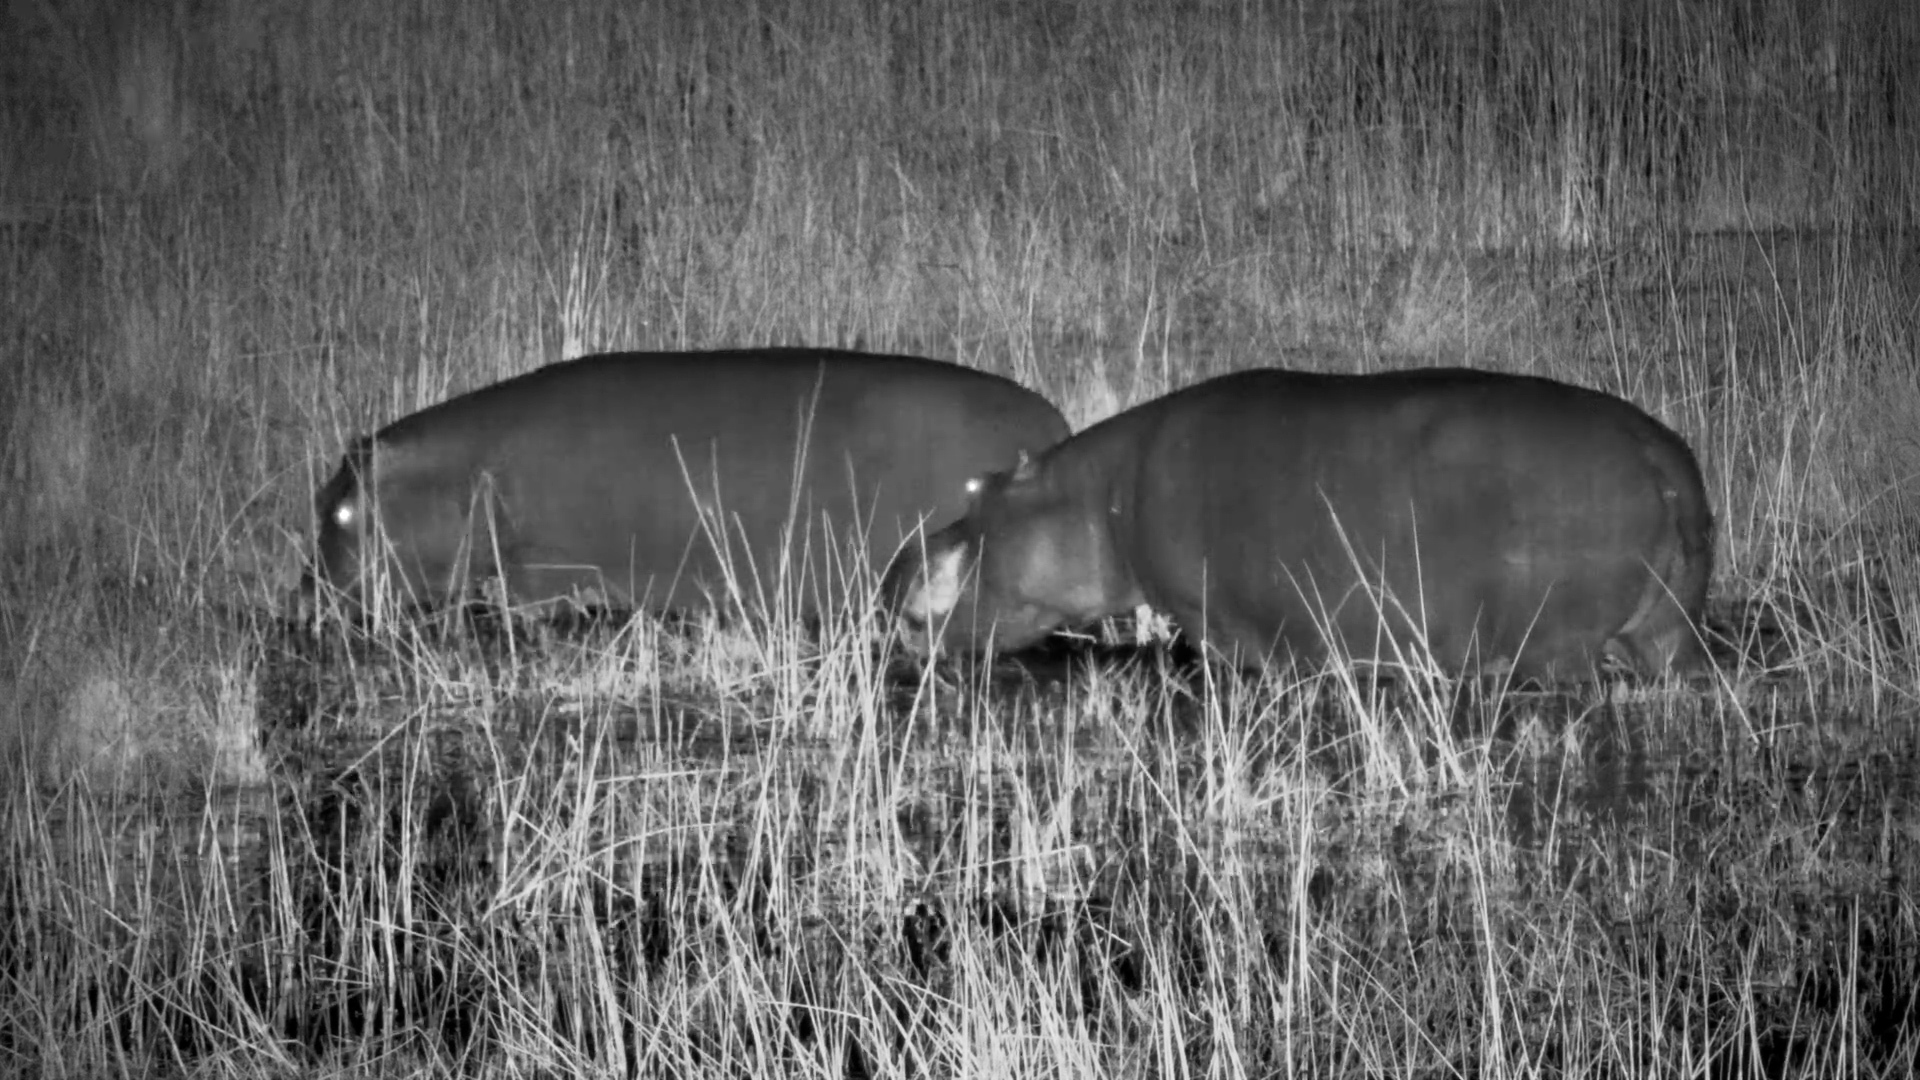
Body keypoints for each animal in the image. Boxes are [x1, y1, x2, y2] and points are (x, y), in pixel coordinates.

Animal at [308, 349, 1070, 619]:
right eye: (322, 500)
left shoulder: (543, 569)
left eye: (340, 515)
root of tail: (1051, 420)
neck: (462, 468)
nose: (302, 601)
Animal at [888, 367, 1713, 681]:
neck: (1097, 499)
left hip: (1556, 648)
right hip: (1667, 634)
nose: (902, 557)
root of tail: (1658, 453)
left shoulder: (1226, 628)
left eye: (981, 489)